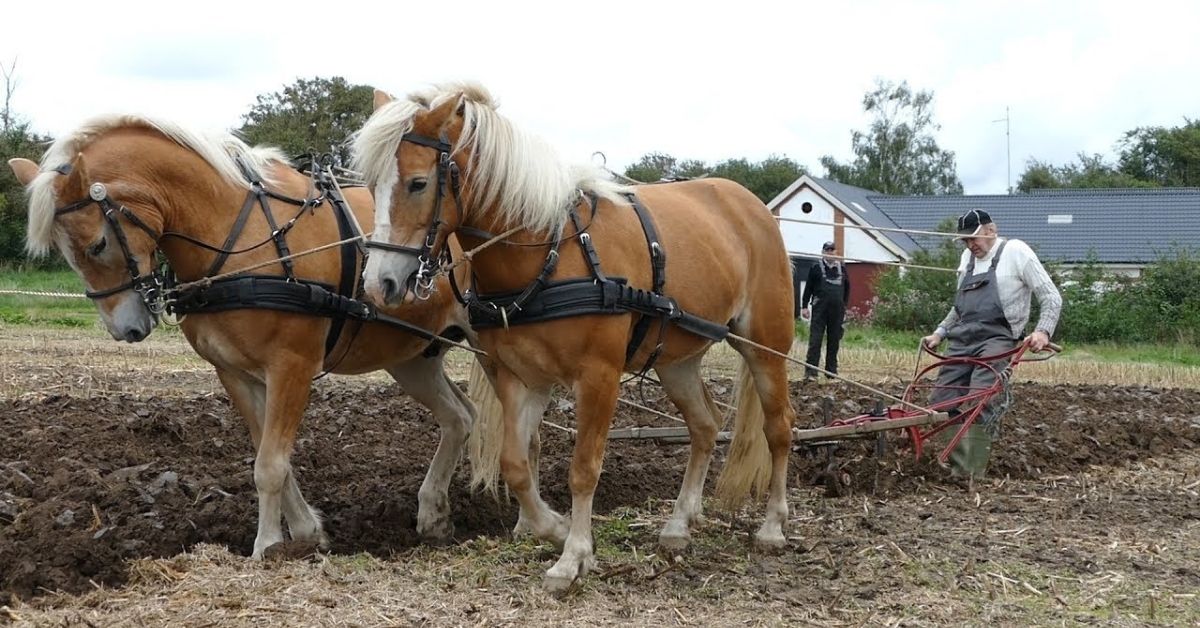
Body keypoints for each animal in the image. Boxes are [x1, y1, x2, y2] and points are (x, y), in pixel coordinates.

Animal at [9, 115, 487, 557]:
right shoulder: (235, 373)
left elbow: (271, 465)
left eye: (97, 245)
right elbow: (269, 455)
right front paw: (304, 534)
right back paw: (433, 514)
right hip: (412, 357)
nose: (126, 328)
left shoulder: (292, 366)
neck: (238, 237)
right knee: (460, 417)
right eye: (65, 252)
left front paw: (266, 549)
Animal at [350, 81, 796, 593]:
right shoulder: (520, 377)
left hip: (766, 347)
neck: (548, 252)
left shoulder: (598, 377)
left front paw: (573, 556)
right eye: (371, 186)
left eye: (418, 183)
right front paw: (554, 528)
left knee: (779, 427)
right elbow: (516, 464)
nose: (379, 284)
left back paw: (772, 526)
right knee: (705, 425)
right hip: (675, 360)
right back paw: (679, 524)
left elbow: (584, 469)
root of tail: (750, 204)